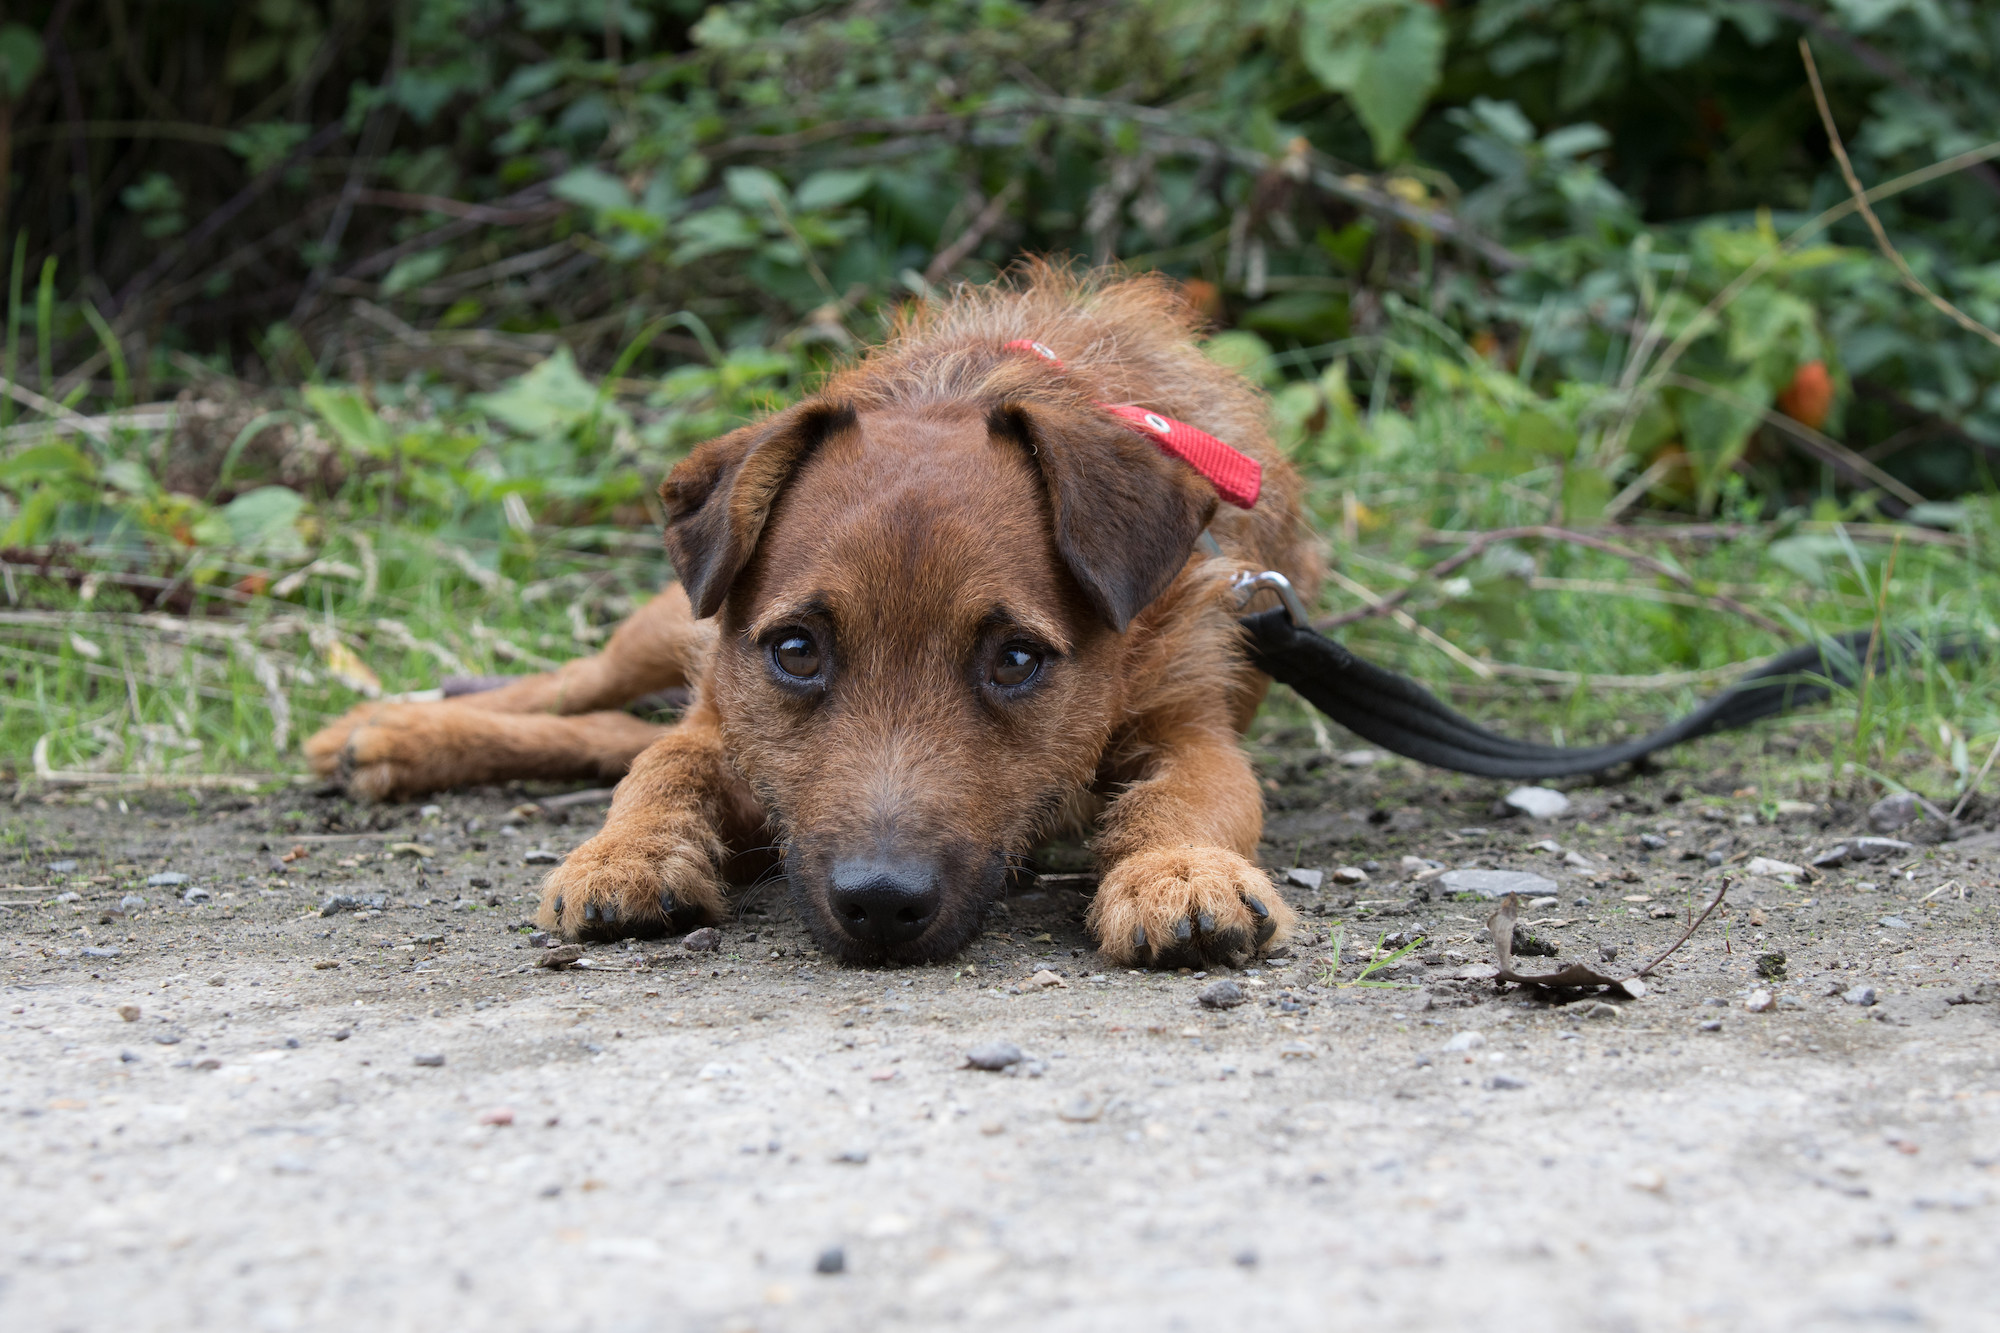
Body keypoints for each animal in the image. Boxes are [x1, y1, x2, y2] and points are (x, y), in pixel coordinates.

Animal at [304, 262, 1320, 964]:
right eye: (797, 649)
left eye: (1016, 660)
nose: (881, 905)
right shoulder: (731, 711)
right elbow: (660, 767)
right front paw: (622, 854)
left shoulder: (1191, 722)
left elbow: (1199, 796)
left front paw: (1180, 871)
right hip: (672, 625)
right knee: (585, 688)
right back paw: (386, 729)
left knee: (608, 729)